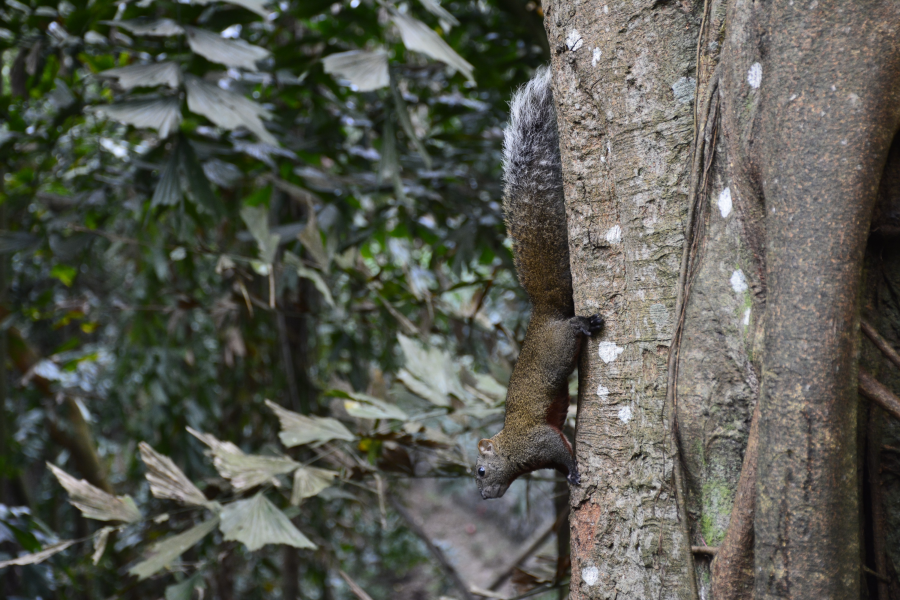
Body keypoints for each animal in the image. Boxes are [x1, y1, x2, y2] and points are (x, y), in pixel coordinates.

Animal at [472, 64, 604, 502]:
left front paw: (575, 472)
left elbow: (561, 452)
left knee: (572, 330)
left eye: (480, 471)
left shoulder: (537, 441)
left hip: (559, 347)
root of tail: (545, 312)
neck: (511, 449)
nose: (484, 497)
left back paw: (585, 324)